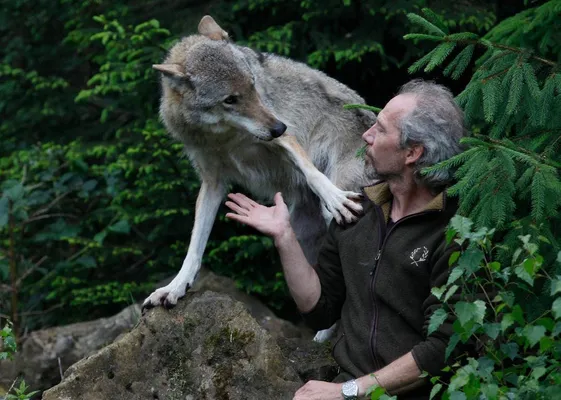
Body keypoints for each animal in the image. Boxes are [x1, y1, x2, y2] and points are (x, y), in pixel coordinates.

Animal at [142, 16, 374, 338]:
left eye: (253, 85)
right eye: (230, 99)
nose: (278, 127)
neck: (222, 137)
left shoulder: (285, 139)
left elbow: (311, 172)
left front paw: (334, 196)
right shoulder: (213, 182)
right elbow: (195, 245)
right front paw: (175, 287)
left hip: (336, 218)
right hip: (297, 233)